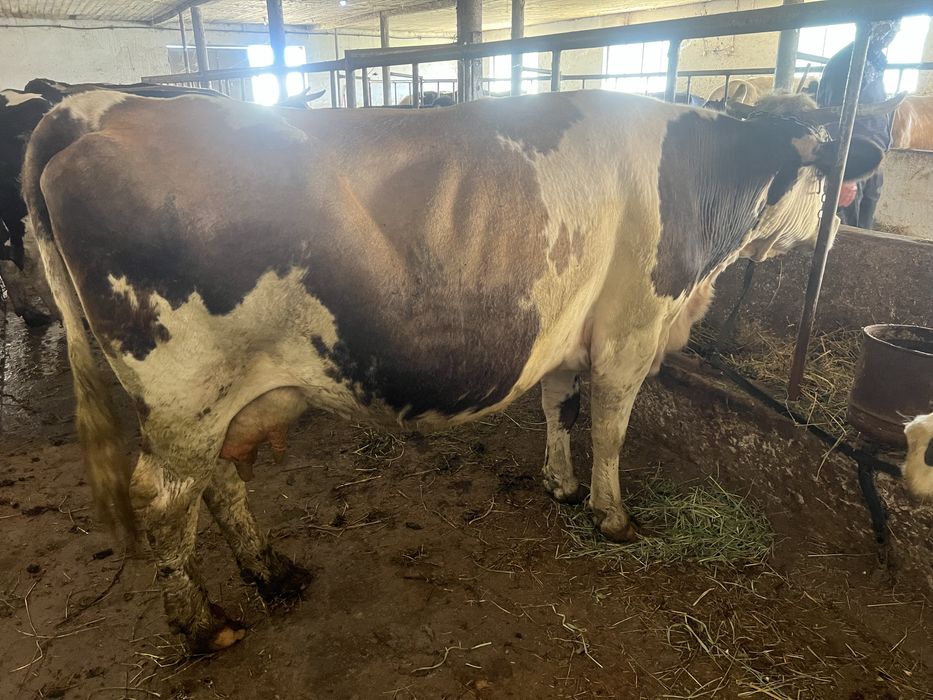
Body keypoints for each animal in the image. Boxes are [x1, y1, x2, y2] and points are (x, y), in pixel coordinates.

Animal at [23, 88, 890, 652]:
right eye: (831, 175)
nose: (835, 227)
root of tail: (102, 110)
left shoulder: (566, 330)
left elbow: (557, 406)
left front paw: (558, 483)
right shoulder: (630, 329)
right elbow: (611, 426)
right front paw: (611, 515)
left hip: (220, 399)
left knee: (219, 483)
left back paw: (270, 570)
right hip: (184, 389)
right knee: (166, 500)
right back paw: (205, 624)